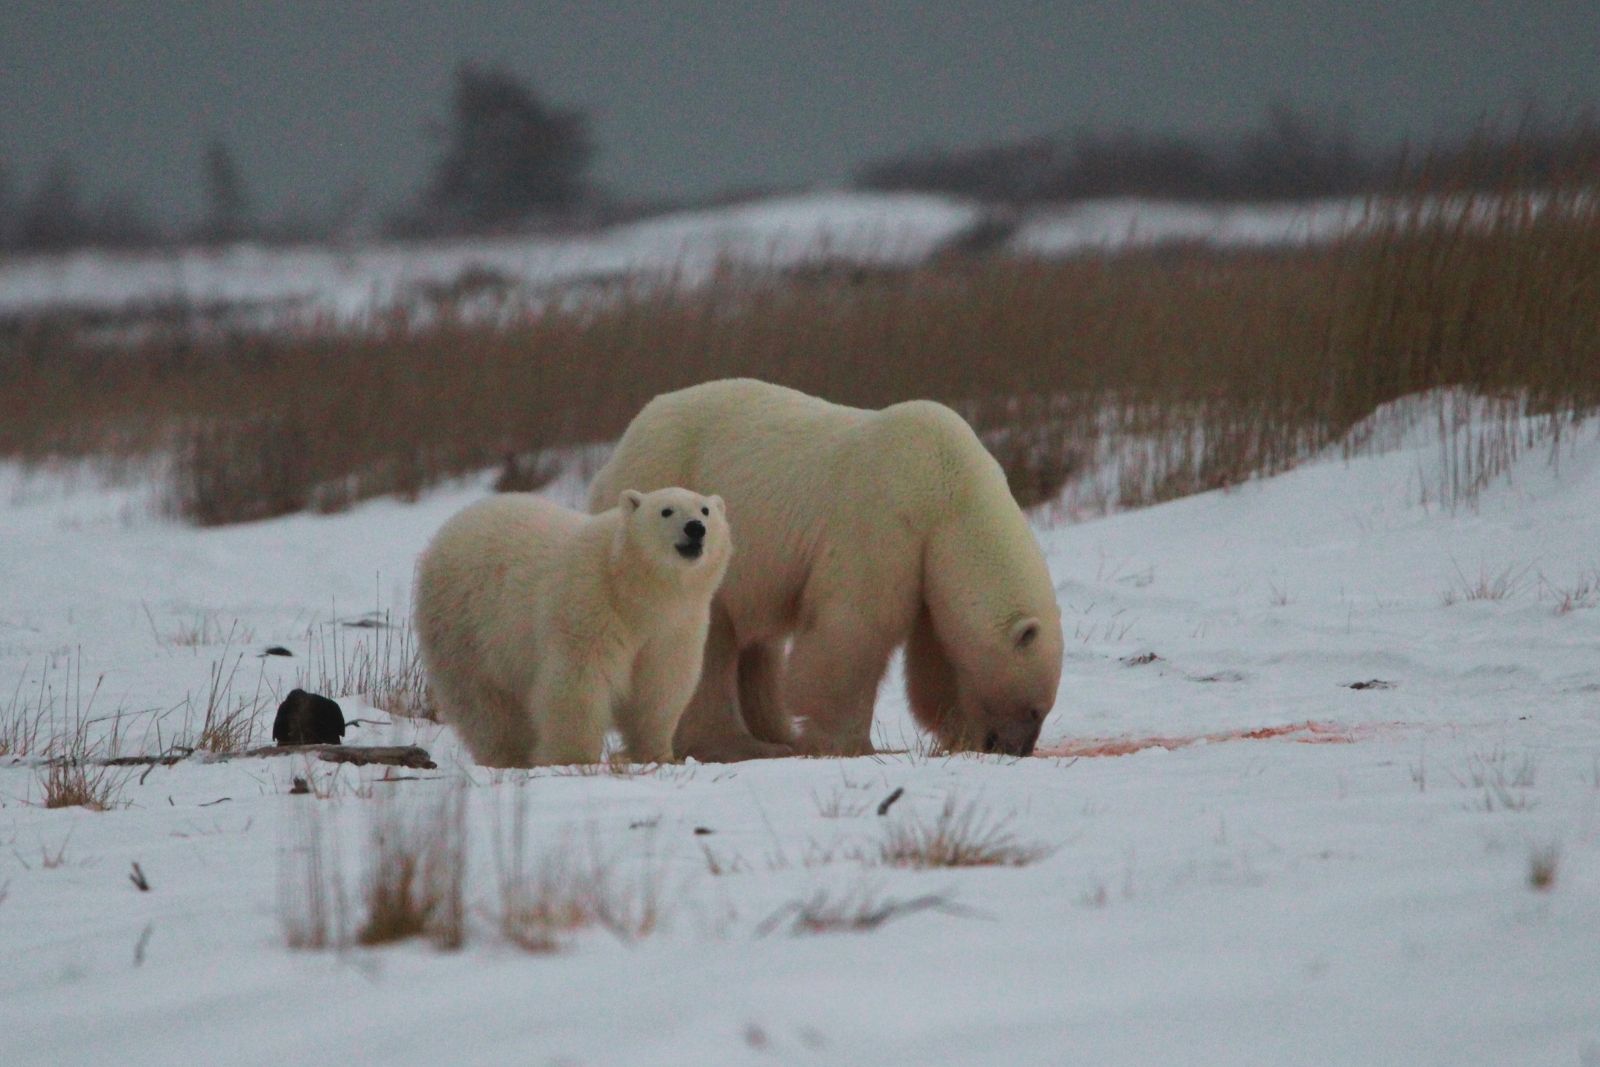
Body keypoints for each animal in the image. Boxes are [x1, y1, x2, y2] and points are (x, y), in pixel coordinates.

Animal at [413, 487, 730, 767]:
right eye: (666, 510)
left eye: (705, 509)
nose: (695, 528)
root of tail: (453, 523)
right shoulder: (590, 602)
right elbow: (579, 679)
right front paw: (573, 758)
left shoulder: (675, 625)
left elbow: (662, 684)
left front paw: (659, 754)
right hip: (464, 624)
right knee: (482, 701)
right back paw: (510, 756)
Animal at [586, 379, 1063, 762]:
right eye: (1033, 708)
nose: (1015, 748)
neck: (952, 488)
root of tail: (612, 461)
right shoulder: (883, 517)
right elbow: (856, 627)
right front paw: (851, 745)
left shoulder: (930, 560)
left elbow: (936, 661)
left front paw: (955, 733)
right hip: (676, 510)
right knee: (710, 640)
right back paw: (739, 745)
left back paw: (775, 733)